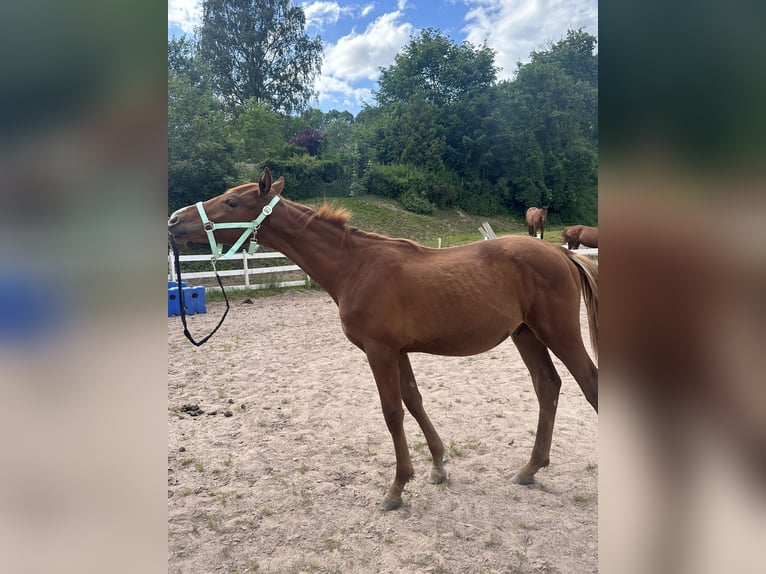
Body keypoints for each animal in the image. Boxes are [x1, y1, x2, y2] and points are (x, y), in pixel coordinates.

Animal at [168, 168, 600, 512]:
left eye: (232, 202)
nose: (174, 220)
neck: (357, 267)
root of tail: (562, 253)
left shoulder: (380, 351)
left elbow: (392, 411)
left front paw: (396, 488)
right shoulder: (400, 351)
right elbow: (414, 400)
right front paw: (438, 467)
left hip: (558, 332)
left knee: (589, 383)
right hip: (526, 335)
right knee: (548, 385)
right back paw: (530, 468)